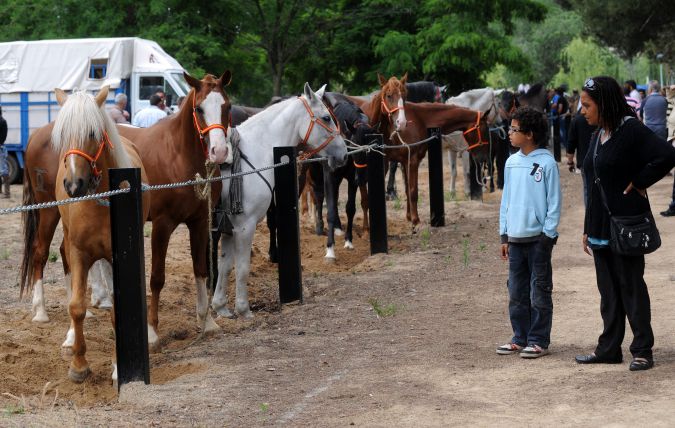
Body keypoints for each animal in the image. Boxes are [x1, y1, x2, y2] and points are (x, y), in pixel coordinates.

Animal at [21, 70, 234, 352]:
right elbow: (157, 277)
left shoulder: (199, 221)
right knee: (41, 253)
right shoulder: (163, 224)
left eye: (227, 106)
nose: (219, 151)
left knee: (65, 254)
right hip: (49, 211)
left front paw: (207, 321)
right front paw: (152, 332)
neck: (178, 154)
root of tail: (36, 136)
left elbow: (200, 269)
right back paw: (42, 312)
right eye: (199, 108)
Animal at [48, 86, 152, 382]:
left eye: (93, 133)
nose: (74, 185)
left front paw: (119, 368)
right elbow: (76, 307)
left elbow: (119, 309)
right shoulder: (79, 253)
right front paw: (78, 365)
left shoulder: (118, 255)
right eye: (62, 134)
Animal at [211, 83, 348, 320]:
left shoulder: (228, 227)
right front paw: (243, 309)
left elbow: (225, 265)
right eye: (326, 118)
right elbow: (243, 267)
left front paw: (221, 307)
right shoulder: (244, 227)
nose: (344, 154)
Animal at [360, 73, 492, 227]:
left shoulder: (405, 160)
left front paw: (409, 216)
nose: (484, 159)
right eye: (484, 130)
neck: (421, 120)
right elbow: (413, 190)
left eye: (404, 96)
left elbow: (407, 189)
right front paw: (415, 220)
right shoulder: (412, 160)